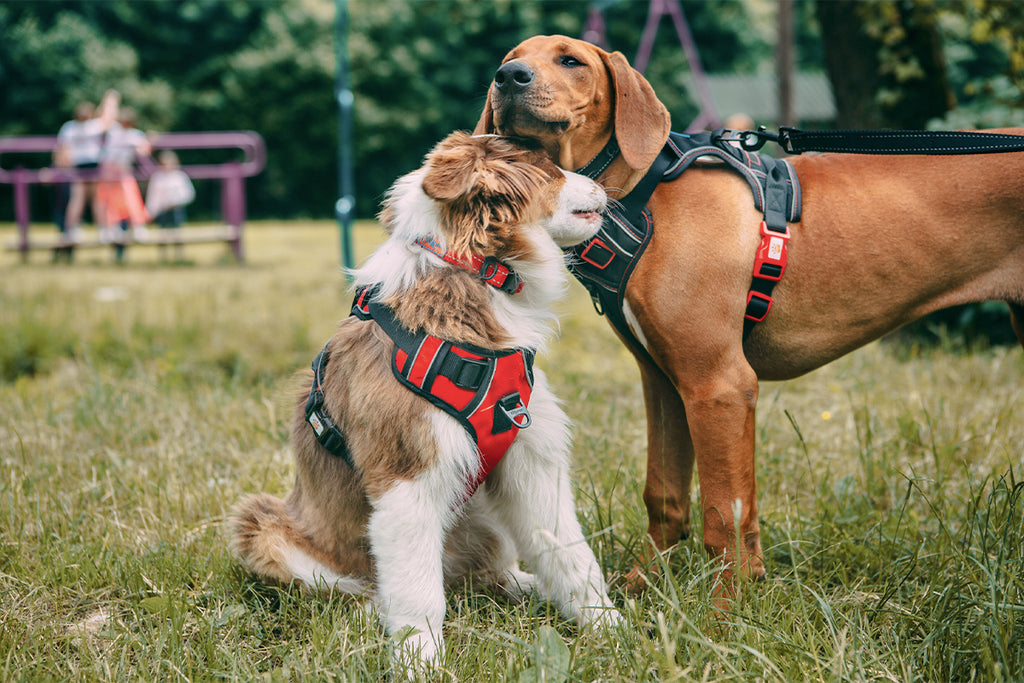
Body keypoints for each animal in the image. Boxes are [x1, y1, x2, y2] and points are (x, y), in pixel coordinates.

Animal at [232, 132, 614, 667]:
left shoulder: (531, 457)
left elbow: (571, 553)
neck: (471, 271)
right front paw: (420, 661)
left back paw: (526, 586)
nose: (606, 181)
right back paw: (371, 615)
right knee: (358, 589)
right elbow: (417, 590)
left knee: (487, 575)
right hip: (262, 524)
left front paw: (612, 629)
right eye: (545, 166)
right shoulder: (405, 474)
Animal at [475, 31, 1024, 589]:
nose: (509, 77)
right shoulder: (664, 382)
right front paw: (643, 586)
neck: (642, 196)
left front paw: (725, 606)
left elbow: (725, 514)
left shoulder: (719, 385)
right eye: (507, 60)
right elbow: (667, 495)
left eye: (572, 61)